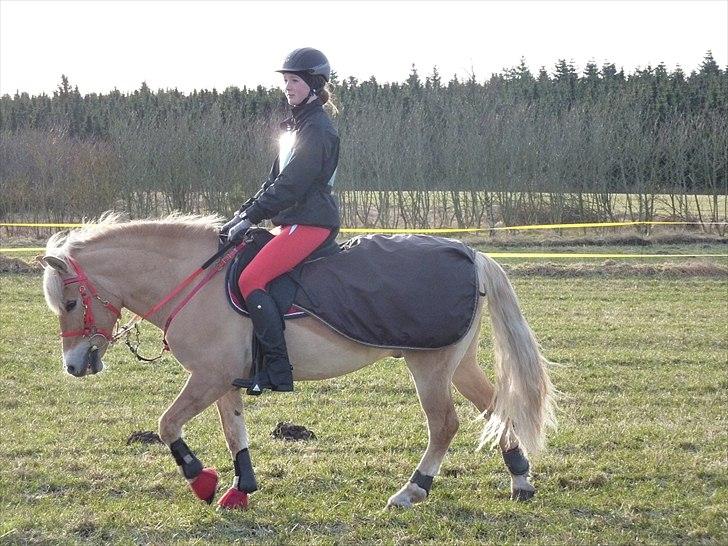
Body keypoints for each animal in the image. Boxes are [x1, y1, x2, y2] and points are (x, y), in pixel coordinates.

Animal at [40, 213, 556, 510]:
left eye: (69, 303)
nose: (73, 366)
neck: (197, 279)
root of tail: (473, 255)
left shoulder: (207, 377)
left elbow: (167, 424)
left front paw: (200, 480)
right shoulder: (224, 379)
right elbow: (235, 432)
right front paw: (240, 489)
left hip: (429, 366)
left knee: (446, 424)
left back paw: (413, 490)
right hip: (458, 363)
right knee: (495, 408)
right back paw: (520, 480)